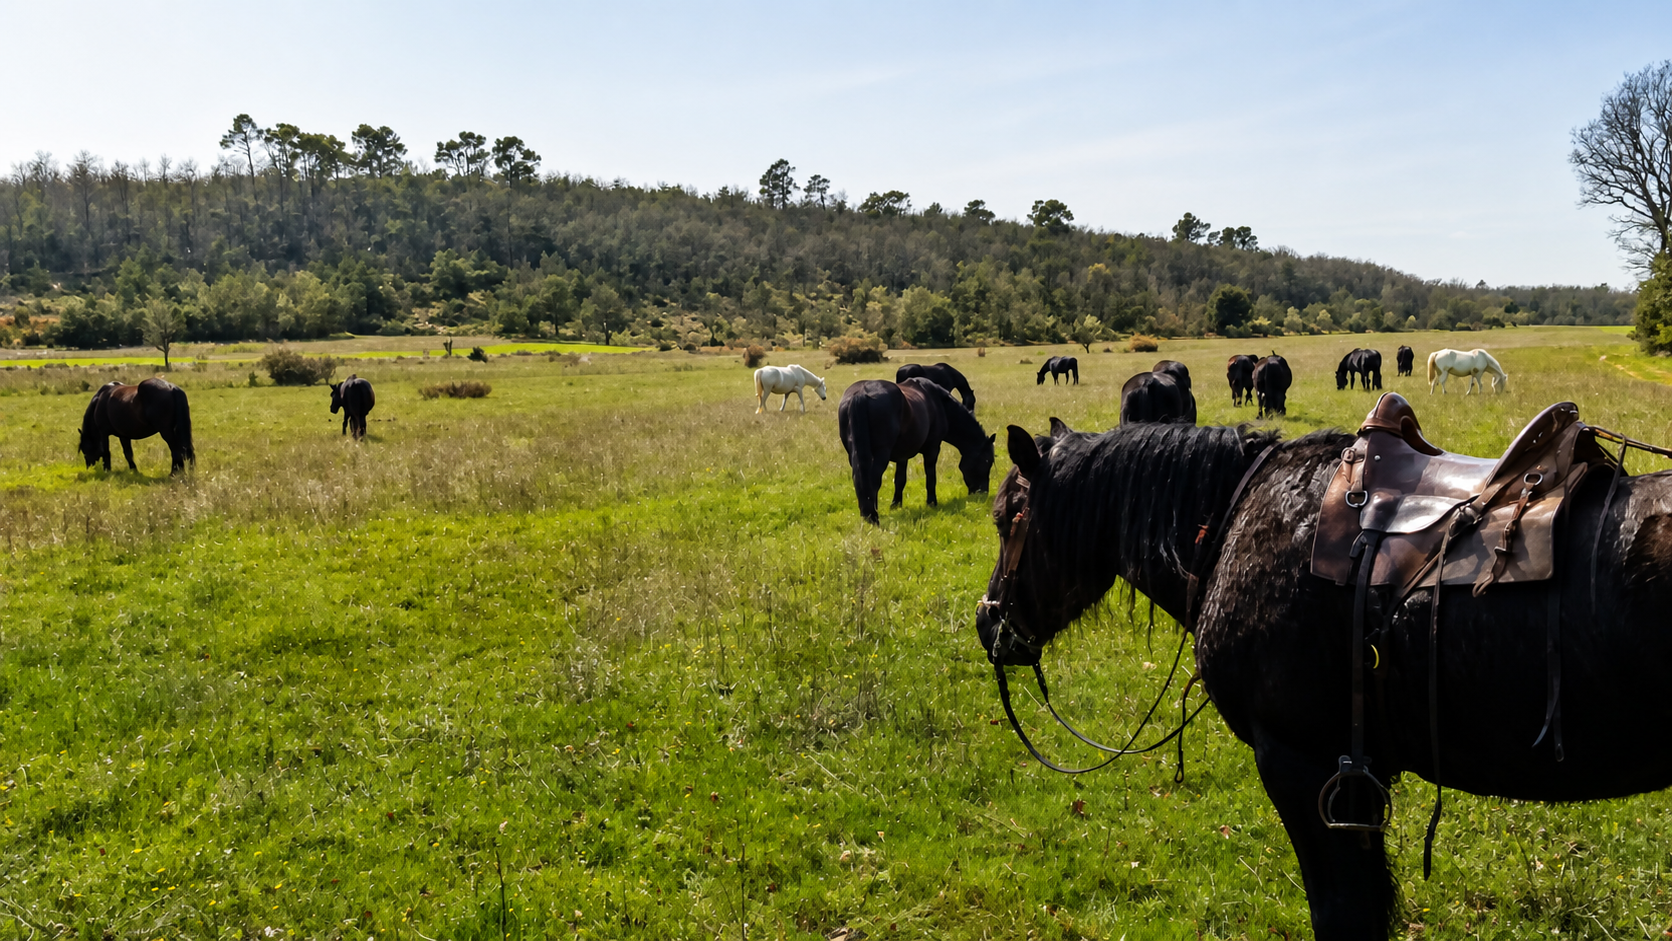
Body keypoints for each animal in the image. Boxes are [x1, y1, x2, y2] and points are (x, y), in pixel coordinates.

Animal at [837, 377, 995, 524]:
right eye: (987, 461)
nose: (983, 493)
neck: (939, 403)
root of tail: (861, 393)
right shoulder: (933, 448)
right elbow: (931, 476)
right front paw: (932, 502)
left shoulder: (902, 456)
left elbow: (900, 479)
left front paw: (896, 504)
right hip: (881, 454)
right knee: (873, 480)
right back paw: (872, 515)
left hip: (854, 455)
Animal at [975, 415, 1672, 938]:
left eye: (1008, 517)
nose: (988, 623)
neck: (1235, 519)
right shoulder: (1356, 775)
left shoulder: (1300, 763)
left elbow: (1342, 915)